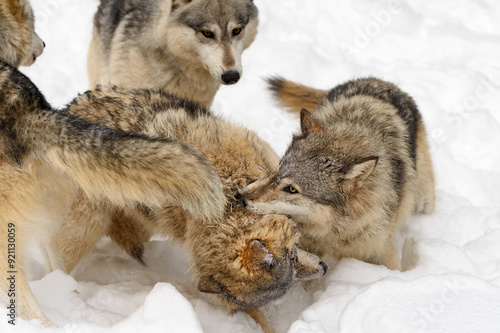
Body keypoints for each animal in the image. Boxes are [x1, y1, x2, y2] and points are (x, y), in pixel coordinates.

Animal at [58, 86, 326, 332]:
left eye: (294, 256)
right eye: (291, 267)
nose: (323, 269)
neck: (230, 197)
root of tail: (70, 107)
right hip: (88, 225)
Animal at [240, 76, 436, 268]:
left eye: (292, 189)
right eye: (278, 170)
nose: (240, 196)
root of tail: (377, 80)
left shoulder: (384, 252)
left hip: (422, 201)